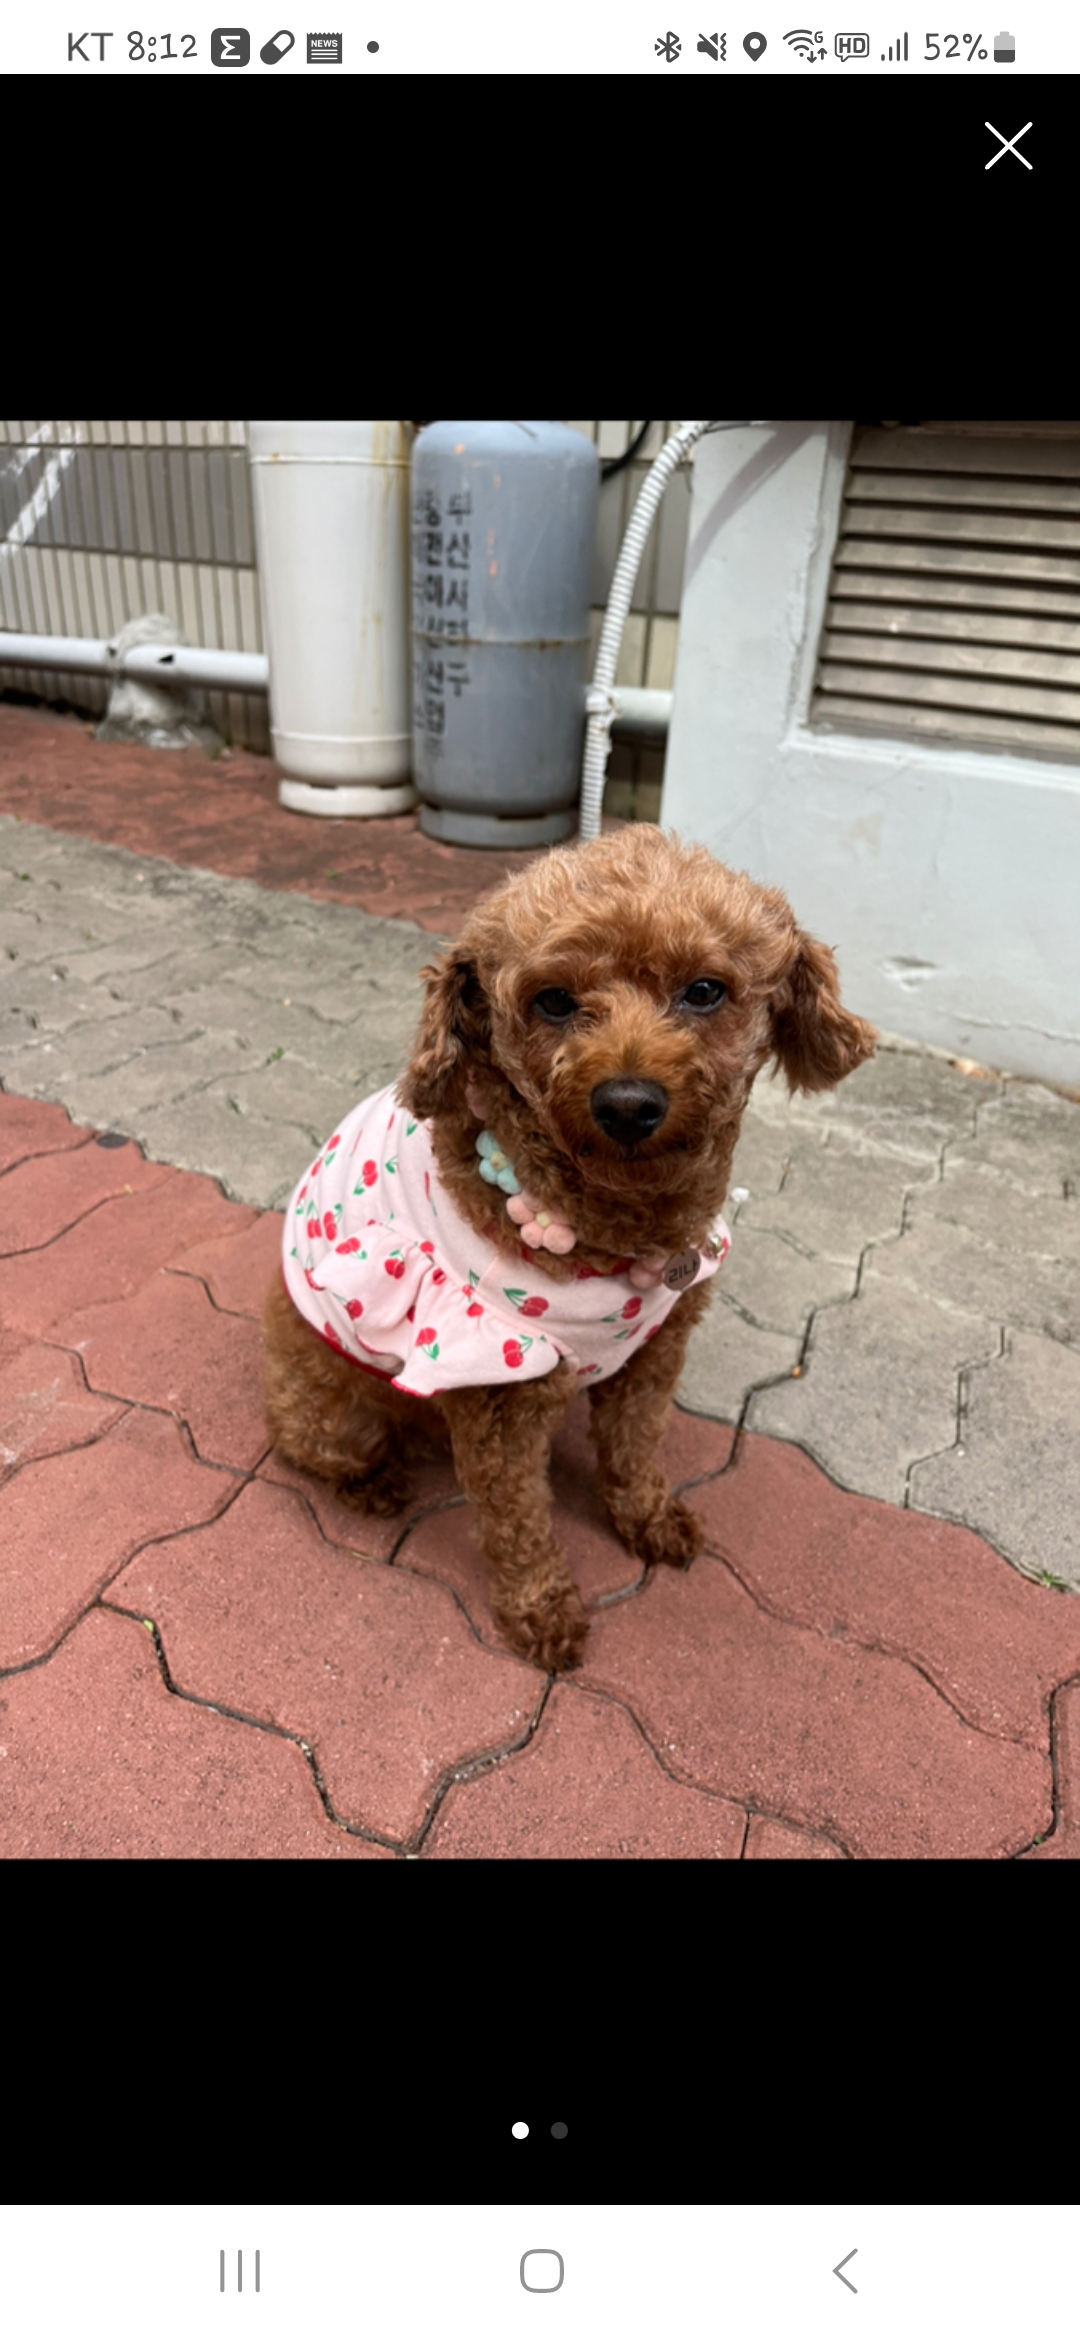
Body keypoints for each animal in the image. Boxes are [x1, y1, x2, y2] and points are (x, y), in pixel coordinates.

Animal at [262, 824, 877, 1673]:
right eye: (552, 1001)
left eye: (705, 991)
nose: (628, 1103)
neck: (611, 1220)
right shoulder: (497, 1399)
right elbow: (517, 1521)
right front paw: (542, 1611)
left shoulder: (655, 1351)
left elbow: (634, 1447)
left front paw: (647, 1520)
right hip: (333, 1407)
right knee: (313, 1448)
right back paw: (372, 1485)